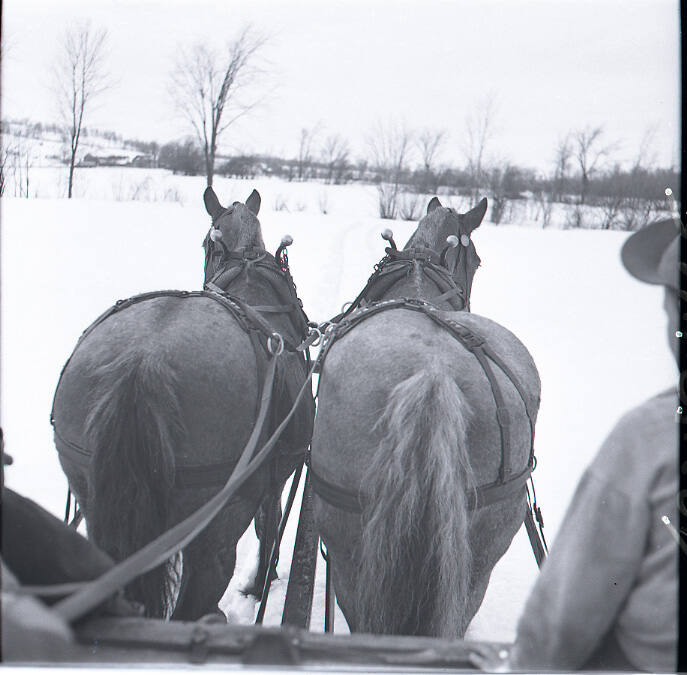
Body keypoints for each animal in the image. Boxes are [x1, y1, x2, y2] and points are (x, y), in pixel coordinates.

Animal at [50, 187, 315, 621]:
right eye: (206, 243)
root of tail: (143, 363)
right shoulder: (275, 476)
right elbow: (269, 522)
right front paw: (261, 581)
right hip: (218, 518)